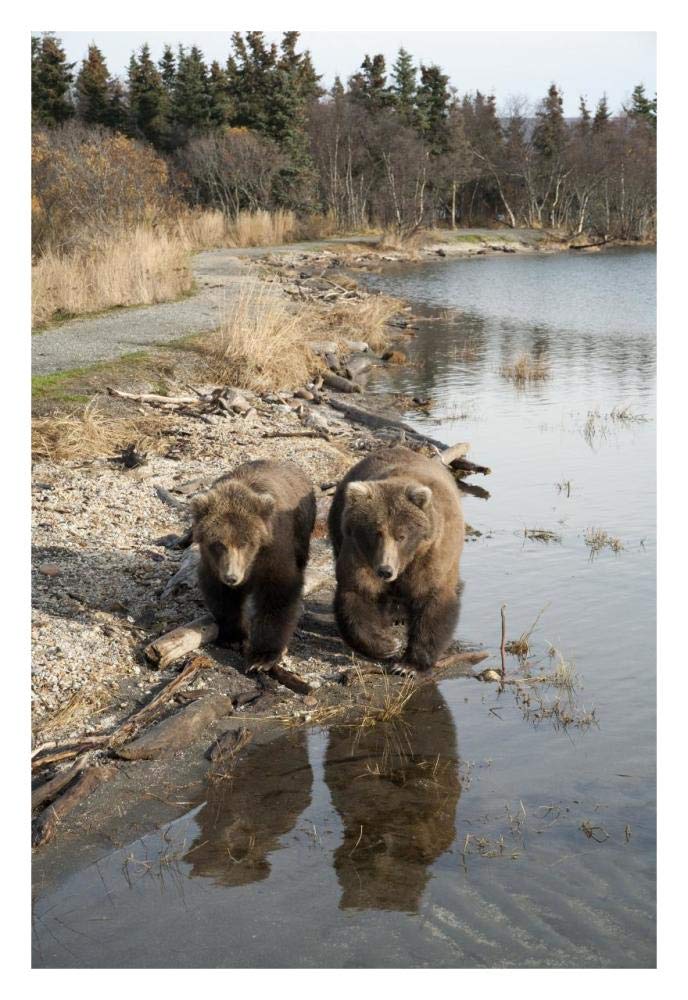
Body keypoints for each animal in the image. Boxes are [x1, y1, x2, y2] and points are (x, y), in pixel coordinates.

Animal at [191, 459, 316, 671]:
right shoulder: (213, 563)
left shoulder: (274, 549)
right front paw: (234, 637)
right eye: (218, 544)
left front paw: (262, 657)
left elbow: (277, 593)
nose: (231, 577)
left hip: (303, 525)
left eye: (244, 543)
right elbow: (222, 596)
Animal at [328, 445, 464, 673]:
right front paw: (388, 645)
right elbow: (358, 592)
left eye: (401, 536)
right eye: (376, 532)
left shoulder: (431, 554)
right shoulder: (360, 553)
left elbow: (431, 599)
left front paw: (408, 665)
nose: (385, 570)